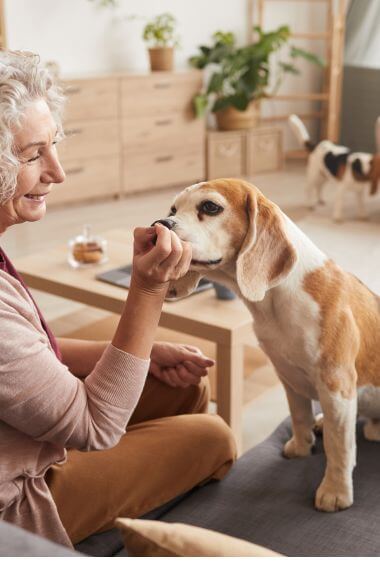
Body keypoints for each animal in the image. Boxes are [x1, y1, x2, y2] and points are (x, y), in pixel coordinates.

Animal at [154, 176, 380, 510]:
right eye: (173, 209)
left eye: (210, 207)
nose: (160, 224)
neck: (275, 300)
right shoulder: (288, 376)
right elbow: (299, 416)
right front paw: (301, 447)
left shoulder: (336, 385)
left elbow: (339, 446)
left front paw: (335, 492)